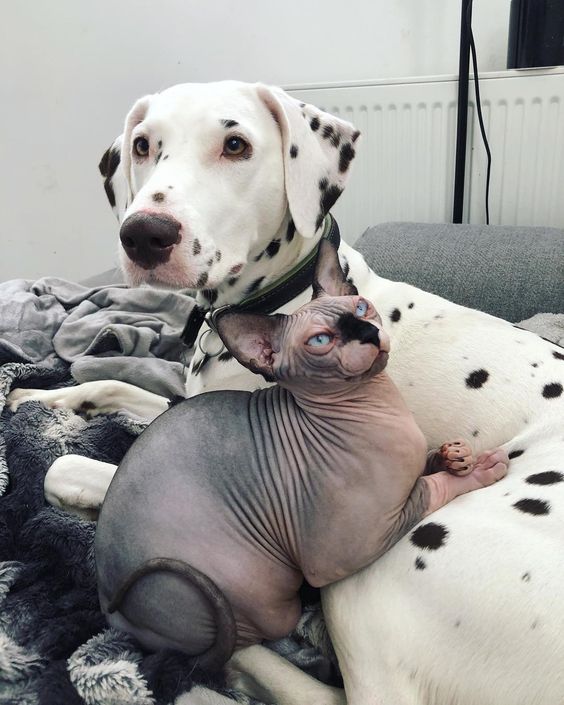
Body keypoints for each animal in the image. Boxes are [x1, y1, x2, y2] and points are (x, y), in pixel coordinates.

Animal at [94, 241, 508, 672]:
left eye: (361, 308)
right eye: (320, 341)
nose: (369, 332)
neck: (377, 406)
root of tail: (115, 616)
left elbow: (425, 467)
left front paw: (453, 455)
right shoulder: (357, 543)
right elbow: (430, 490)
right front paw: (478, 471)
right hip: (262, 587)